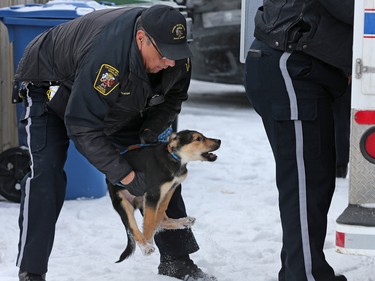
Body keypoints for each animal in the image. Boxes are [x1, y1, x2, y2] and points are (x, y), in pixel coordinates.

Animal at [107, 130, 222, 262]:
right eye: (198, 139)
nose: (219, 141)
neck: (174, 158)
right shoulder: (153, 194)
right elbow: (149, 222)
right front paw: (148, 240)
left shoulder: (170, 189)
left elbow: (159, 214)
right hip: (122, 202)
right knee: (133, 229)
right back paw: (145, 246)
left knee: (161, 220)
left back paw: (183, 221)